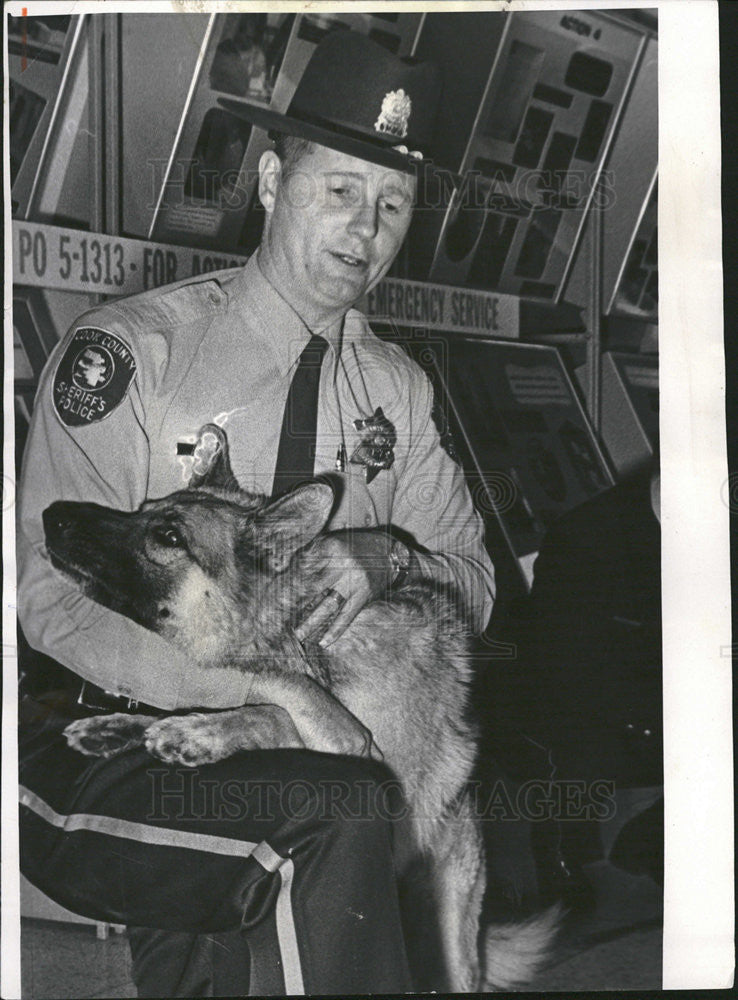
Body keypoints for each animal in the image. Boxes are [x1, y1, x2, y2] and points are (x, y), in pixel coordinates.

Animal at [43, 424, 556, 992]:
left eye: (170, 536)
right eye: (140, 510)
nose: (52, 516)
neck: (293, 620)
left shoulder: (369, 753)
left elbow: (273, 708)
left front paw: (198, 732)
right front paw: (126, 724)